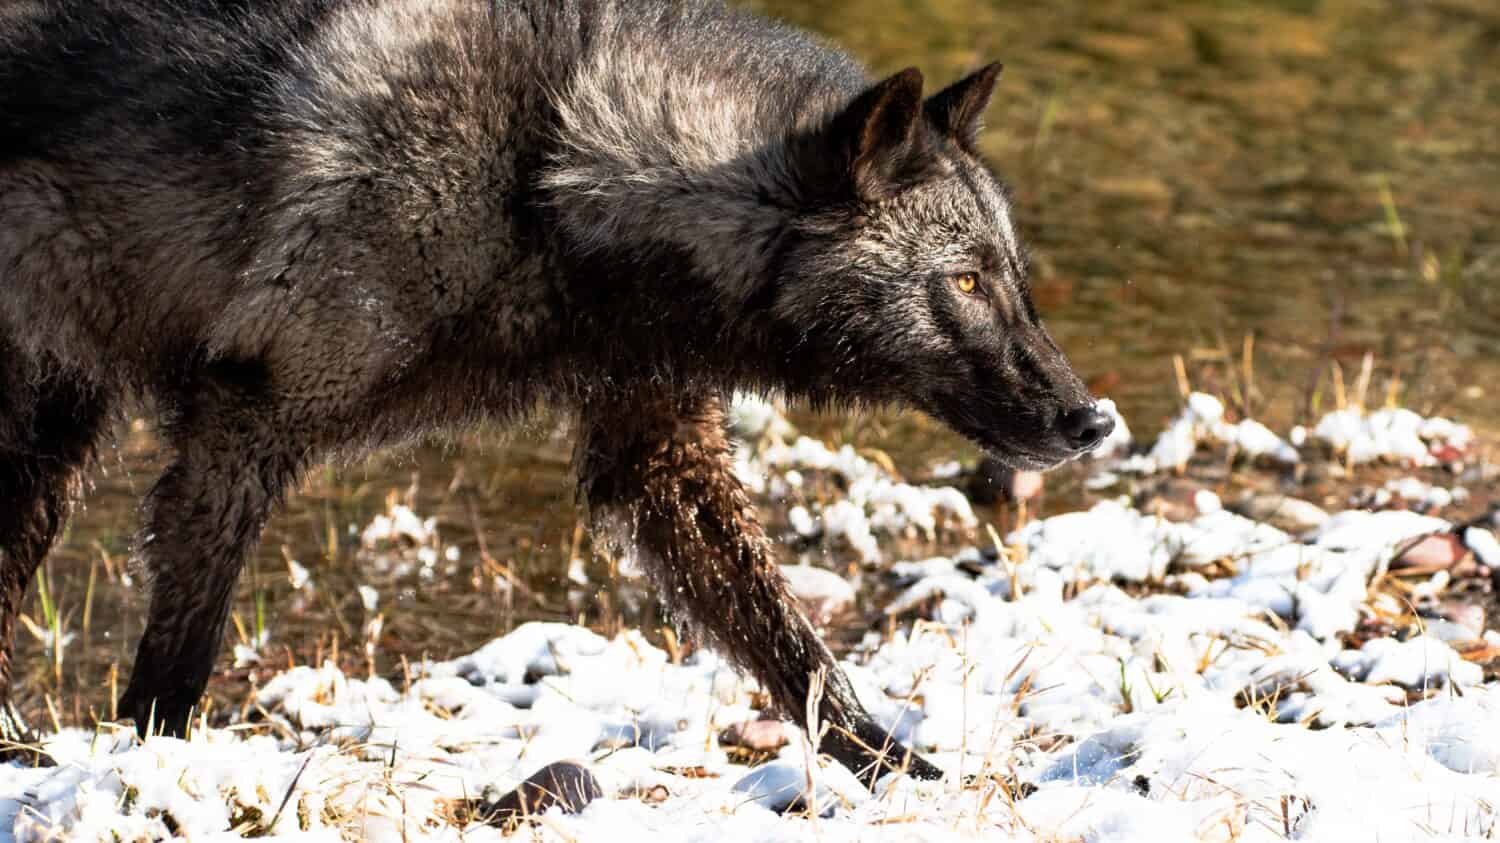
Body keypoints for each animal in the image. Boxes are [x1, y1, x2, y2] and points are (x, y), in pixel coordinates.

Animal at [0, 0, 1116, 780]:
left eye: (1011, 279)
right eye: (963, 283)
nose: (1090, 419)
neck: (546, 167)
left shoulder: (656, 454)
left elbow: (800, 656)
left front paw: (904, 772)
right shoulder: (239, 431)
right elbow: (177, 662)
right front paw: (151, 771)